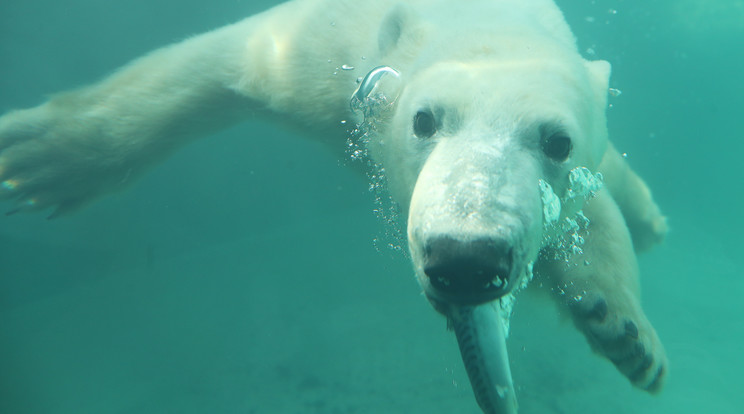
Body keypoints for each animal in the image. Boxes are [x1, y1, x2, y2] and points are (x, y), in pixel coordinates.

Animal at [0, 0, 668, 410]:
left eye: (556, 140)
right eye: (424, 120)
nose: (465, 258)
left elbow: (588, 215)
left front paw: (627, 334)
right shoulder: (336, 56)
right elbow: (213, 64)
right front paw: (36, 159)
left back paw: (649, 225)